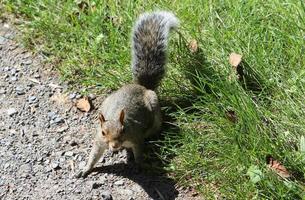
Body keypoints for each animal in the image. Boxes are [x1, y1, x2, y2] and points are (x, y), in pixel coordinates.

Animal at [76, 10, 179, 178]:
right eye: (103, 132)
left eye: (123, 130)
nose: (114, 146)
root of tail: (141, 86)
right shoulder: (99, 141)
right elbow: (94, 154)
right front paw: (86, 168)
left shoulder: (136, 137)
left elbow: (139, 153)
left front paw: (138, 165)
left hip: (154, 108)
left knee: (155, 127)